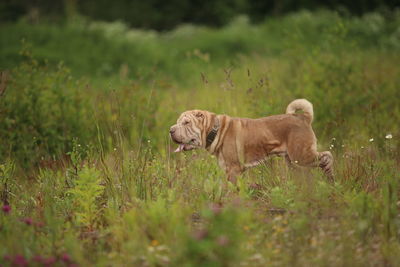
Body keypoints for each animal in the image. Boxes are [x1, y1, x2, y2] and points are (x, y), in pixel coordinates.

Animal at [170, 99, 334, 183]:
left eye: (186, 123)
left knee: (327, 156)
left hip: (301, 155)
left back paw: (330, 178)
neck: (215, 130)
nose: (170, 130)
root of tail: (303, 118)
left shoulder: (233, 170)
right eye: (177, 122)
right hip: (293, 161)